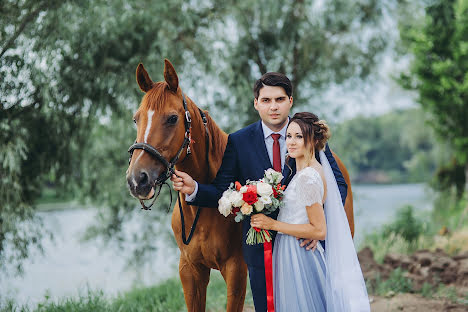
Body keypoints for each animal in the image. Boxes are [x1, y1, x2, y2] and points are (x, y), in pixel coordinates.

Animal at [125, 59, 354, 310]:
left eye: (172, 118)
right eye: (136, 118)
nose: (137, 179)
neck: (202, 211)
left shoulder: (236, 270)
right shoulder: (190, 270)